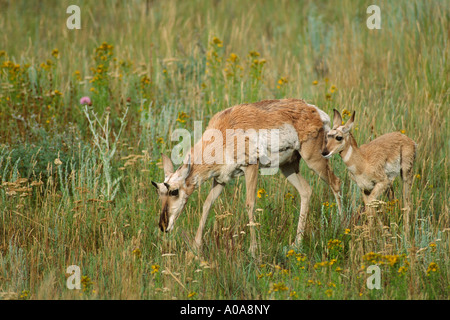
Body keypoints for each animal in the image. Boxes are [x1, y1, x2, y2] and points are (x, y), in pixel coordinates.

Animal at [151, 99, 342, 254]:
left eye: (174, 191)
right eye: (159, 193)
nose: (162, 225)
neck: (222, 135)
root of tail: (314, 110)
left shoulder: (251, 168)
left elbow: (250, 204)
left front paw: (253, 249)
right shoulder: (220, 179)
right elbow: (207, 204)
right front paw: (196, 247)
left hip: (313, 159)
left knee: (336, 182)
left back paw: (341, 224)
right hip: (287, 166)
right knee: (306, 191)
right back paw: (297, 243)